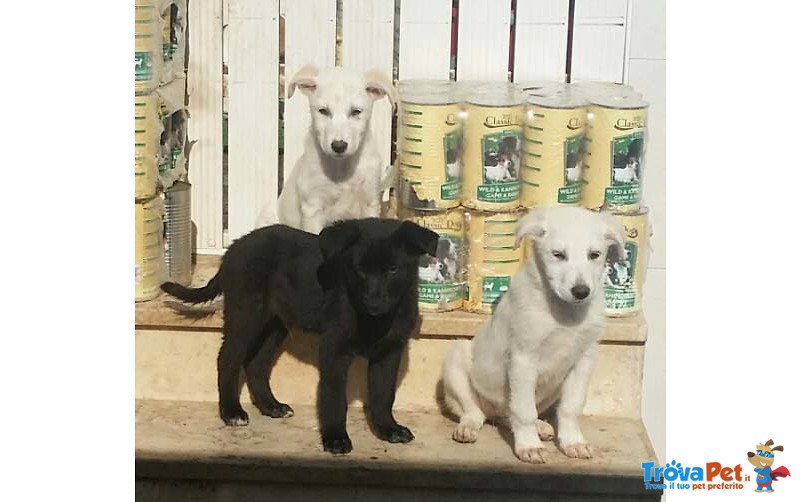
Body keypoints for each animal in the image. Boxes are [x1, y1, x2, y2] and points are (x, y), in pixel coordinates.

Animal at [162, 218, 438, 452]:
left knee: (255, 364)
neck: (374, 321)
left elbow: (383, 394)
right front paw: (335, 438)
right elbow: (334, 396)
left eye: (393, 269)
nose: (374, 304)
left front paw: (387, 429)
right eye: (359, 270)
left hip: (276, 325)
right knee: (227, 360)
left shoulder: (389, 352)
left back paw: (271, 406)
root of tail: (233, 248)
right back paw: (231, 412)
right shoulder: (334, 348)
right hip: (246, 315)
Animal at [260, 64, 396, 233]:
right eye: (323, 111)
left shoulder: (370, 201)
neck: (342, 169)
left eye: (356, 111)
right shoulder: (312, 208)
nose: (339, 146)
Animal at [440, 206, 620, 464]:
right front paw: (529, 446)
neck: (565, 312)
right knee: (475, 412)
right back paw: (469, 428)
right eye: (558, 255)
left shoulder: (583, 360)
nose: (581, 292)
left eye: (594, 255)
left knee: (509, 415)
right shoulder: (523, 359)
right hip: (457, 361)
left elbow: (571, 407)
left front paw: (573, 442)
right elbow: (524, 410)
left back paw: (540, 427)